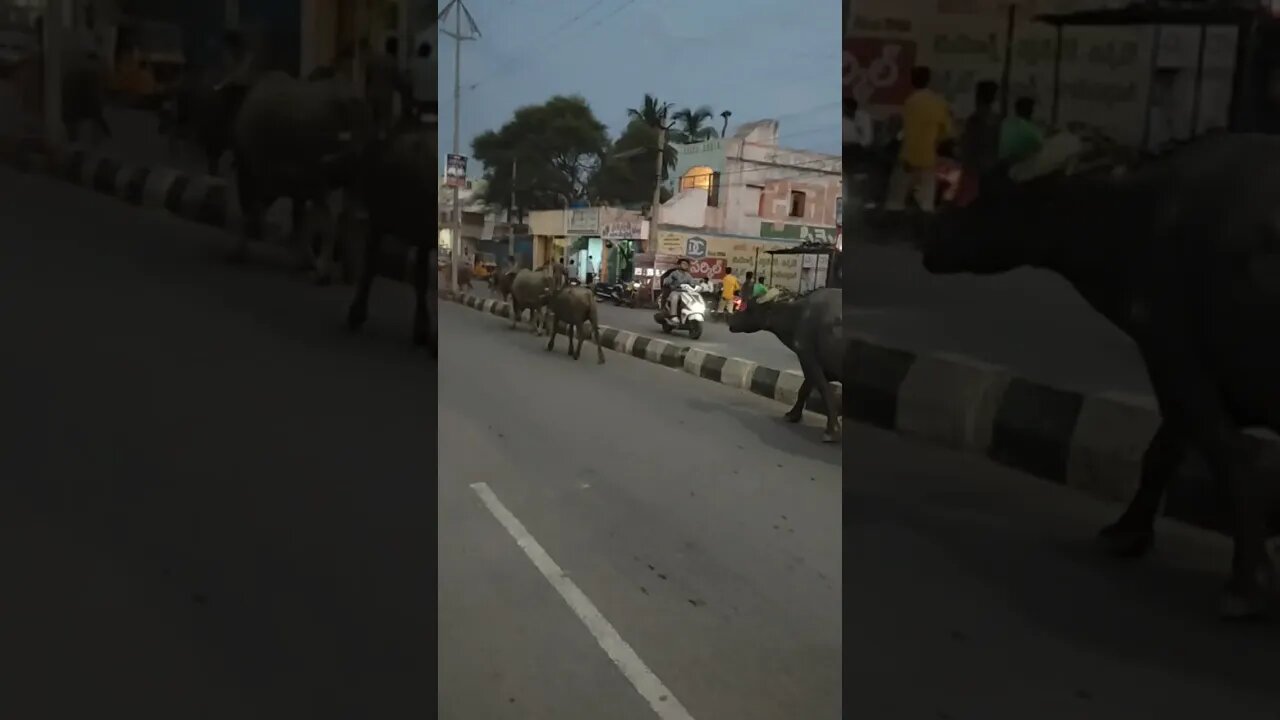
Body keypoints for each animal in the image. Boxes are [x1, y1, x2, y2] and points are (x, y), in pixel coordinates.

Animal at [921, 130, 1280, 617]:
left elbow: (1229, 457)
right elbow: (1161, 452)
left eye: (992, 193)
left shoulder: (1176, 361)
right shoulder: (1201, 381)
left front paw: (1248, 585)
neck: (1137, 217)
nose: (932, 234)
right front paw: (1127, 533)